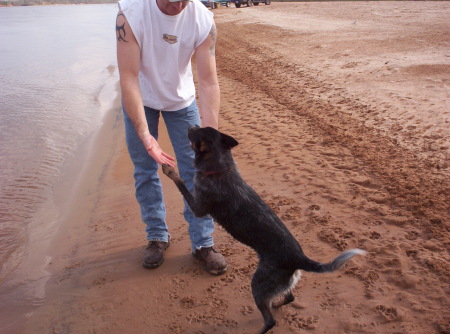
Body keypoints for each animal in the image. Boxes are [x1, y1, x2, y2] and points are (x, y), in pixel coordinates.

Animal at [162, 126, 366, 334]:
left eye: (198, 133)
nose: (191, 126)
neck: (221, 167)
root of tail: (299, 258)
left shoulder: (199, 208)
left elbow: (181, 183)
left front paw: (170, 170)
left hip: (258, 284)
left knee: (270, 320)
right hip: (279, 283)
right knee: (289, 296)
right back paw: (275, 304)